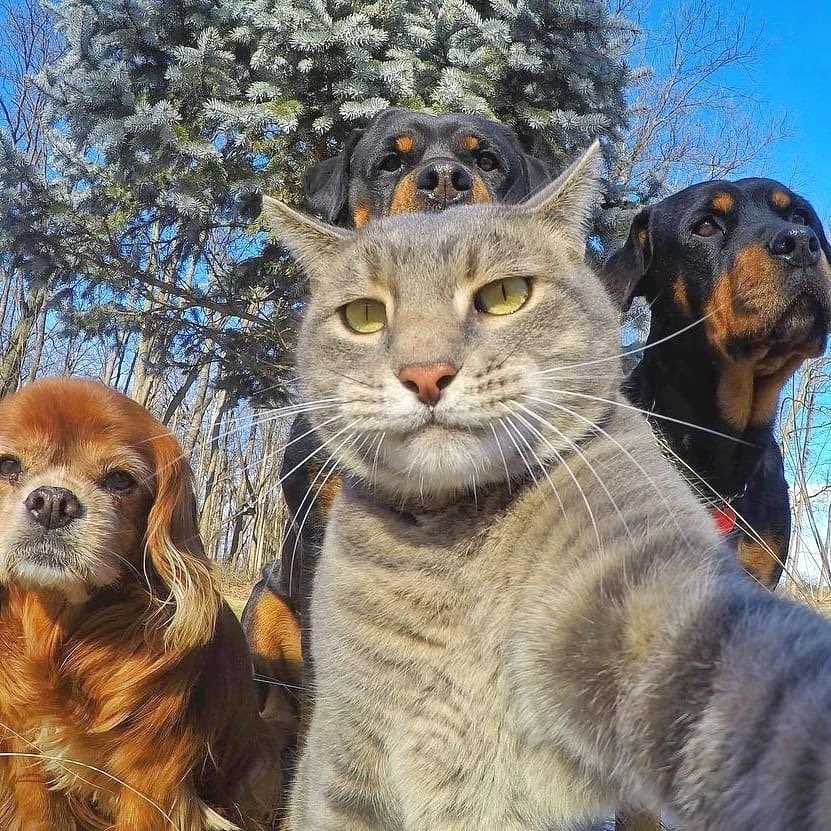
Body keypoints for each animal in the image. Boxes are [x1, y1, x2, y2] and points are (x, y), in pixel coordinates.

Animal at [0, 378, 282, 831]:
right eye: (8, 465)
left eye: (120, 480)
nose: (53, 502)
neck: (65, 632)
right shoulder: (27, 756)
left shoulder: (151, 780)